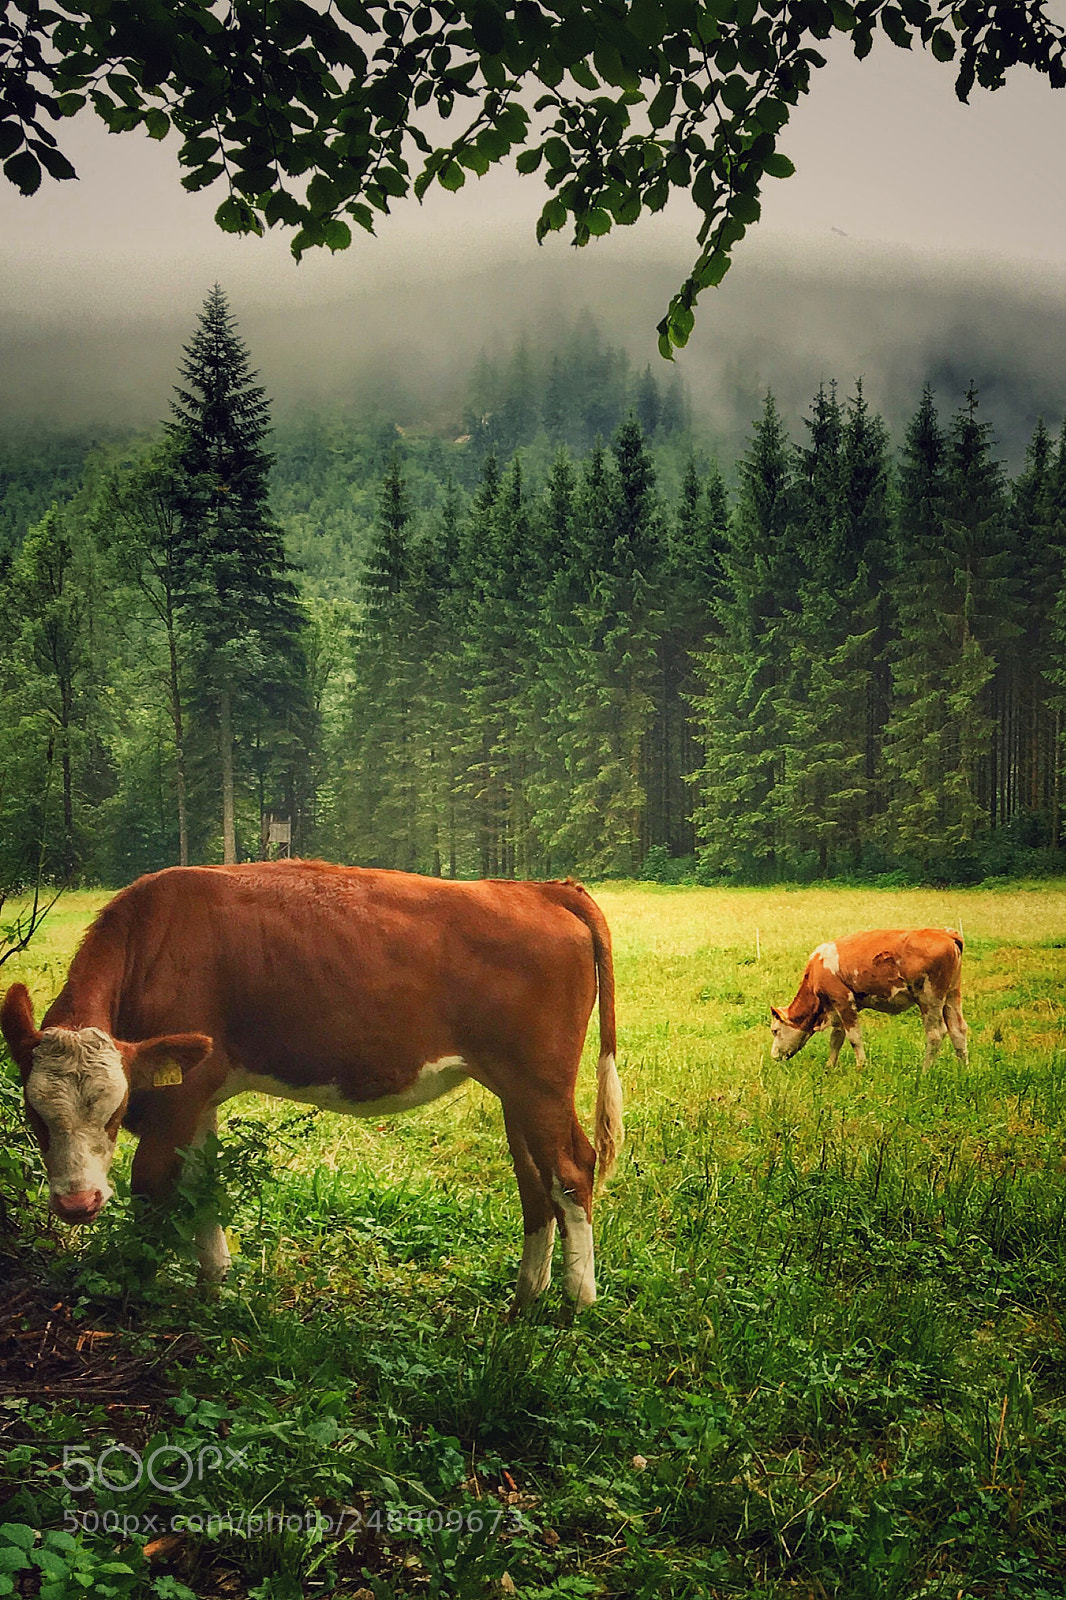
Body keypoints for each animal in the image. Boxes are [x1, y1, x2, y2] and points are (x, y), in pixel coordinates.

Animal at [0, 861, 623, 1311]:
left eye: (113, 1111)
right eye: (34, 1118)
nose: (77, 1203)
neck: (154, 945)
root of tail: (540, 888)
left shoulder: (174, 1101)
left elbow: (152, 1189)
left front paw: (137, 1291)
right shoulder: (199, 1095)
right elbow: (206, 1185)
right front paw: (216, 1284)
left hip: (541, 1081)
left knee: (571, 1170)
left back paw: (577, 1301)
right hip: (515, 1087)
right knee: (534, 1178)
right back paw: (527, 1296)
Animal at [770, 927, 968, 1070]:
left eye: (775, 1030)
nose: (774, 1056)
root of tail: (946, 934)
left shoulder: (843, 1000)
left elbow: (854, 1037)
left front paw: (861, 1066)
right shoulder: (836, 1007)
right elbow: (836, 1038)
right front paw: (830, 1066)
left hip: (930, 997)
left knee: (936, 1034)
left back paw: (925, 1071)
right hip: (952, 995)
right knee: (958, 1030)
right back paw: (963, 1071)